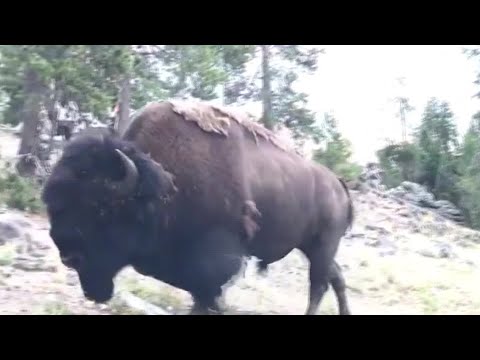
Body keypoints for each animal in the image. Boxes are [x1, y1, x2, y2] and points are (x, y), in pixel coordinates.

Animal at [41, 99, 354, 316]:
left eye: (101, 208)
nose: (68, 255)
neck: (164, 186)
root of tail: (339, 184)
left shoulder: (217, 262)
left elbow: (207, 293)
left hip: (323, 245)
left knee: (319, 284)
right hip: (311, 246)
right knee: (335, 277)